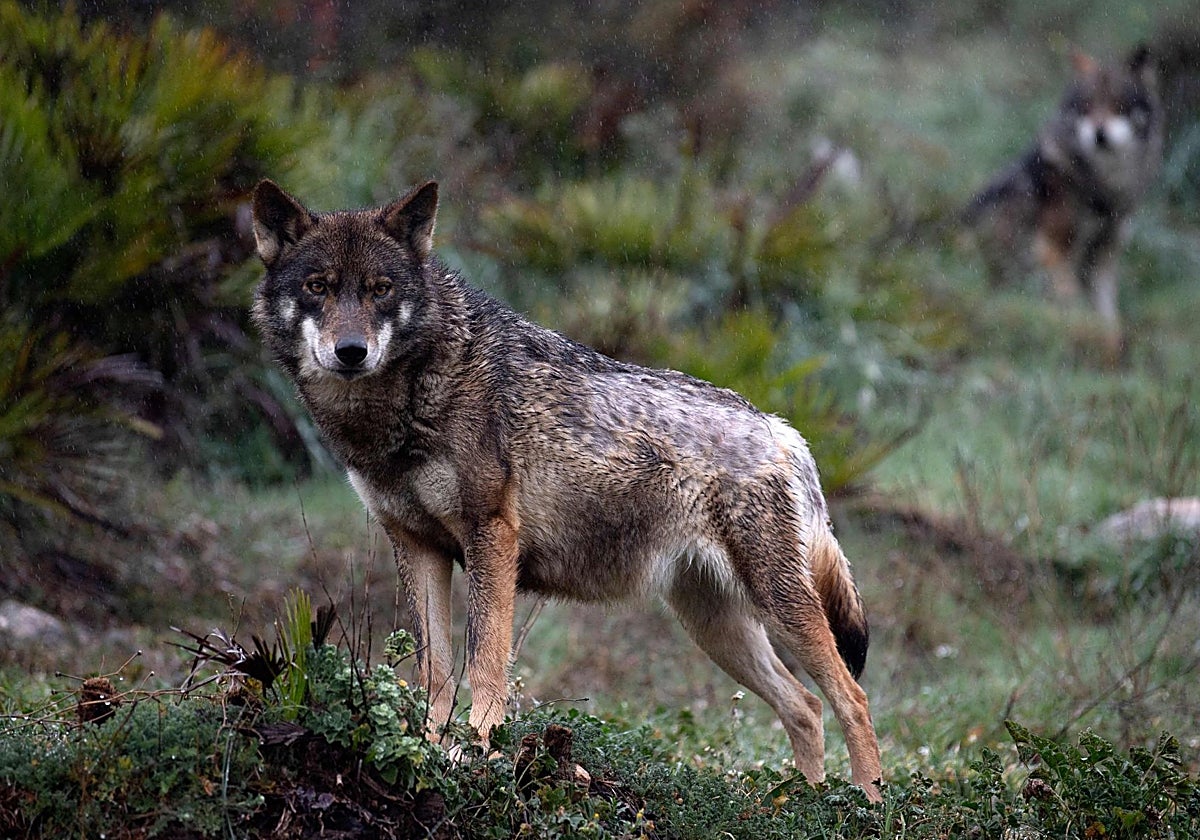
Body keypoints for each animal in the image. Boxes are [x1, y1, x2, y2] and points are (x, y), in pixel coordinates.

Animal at [250, 179, 883, 800]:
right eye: (317, 287)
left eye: (380, 290)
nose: (351, 352)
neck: (407, 402)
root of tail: (782, 428)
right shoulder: (415, 544)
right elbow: (436, 672)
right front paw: (429, 752)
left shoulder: (491, 536)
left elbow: (485, 661)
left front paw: (479, 754)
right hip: (714, 627)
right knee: (805, 706)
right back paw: (806, 803)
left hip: (778, 607)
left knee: (851, 699)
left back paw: (865, 808)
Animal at [963, 46, 1163, 354]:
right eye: (1087, 106)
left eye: (1118, 105)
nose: (1099, 135)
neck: (1104, 185)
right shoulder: (1054, 249)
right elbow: (1071, 302)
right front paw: (1077, 337)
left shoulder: (1102, 256)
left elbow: (1109, 316)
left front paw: (1110, 348)